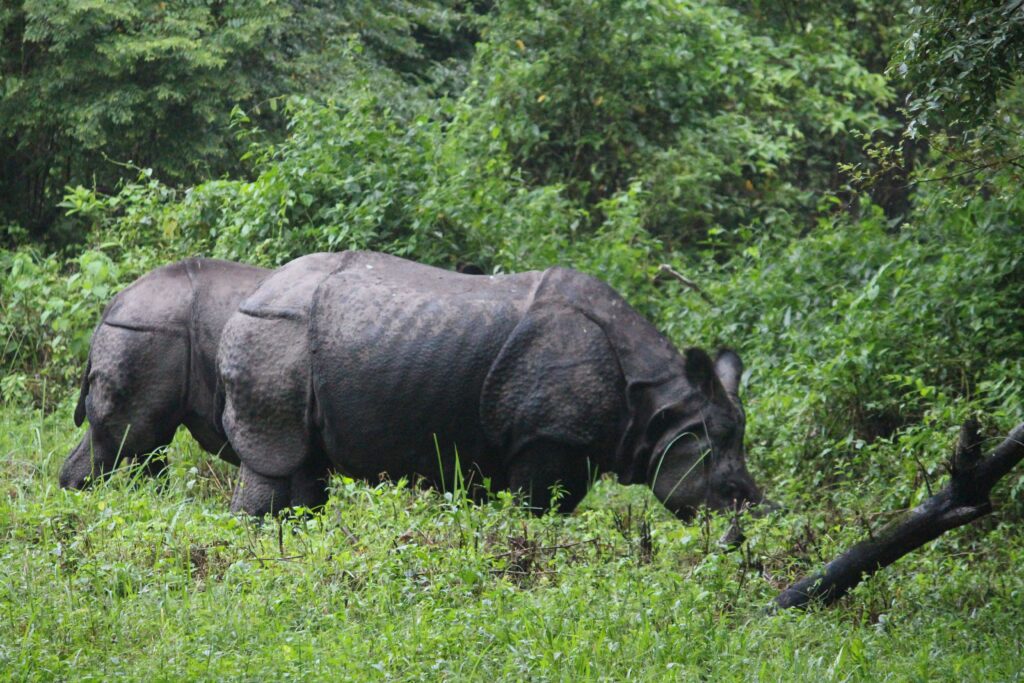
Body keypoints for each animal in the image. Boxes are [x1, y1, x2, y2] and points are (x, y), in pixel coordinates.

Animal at [222, 250, 770, 518]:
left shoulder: (577, 443)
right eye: (728, 488)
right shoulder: (547, 437)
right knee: (277, 460)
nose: (739, 536)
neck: (659, 403)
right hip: (275, 330)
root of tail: (255, 291)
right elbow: (538, 513)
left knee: (306, 465)